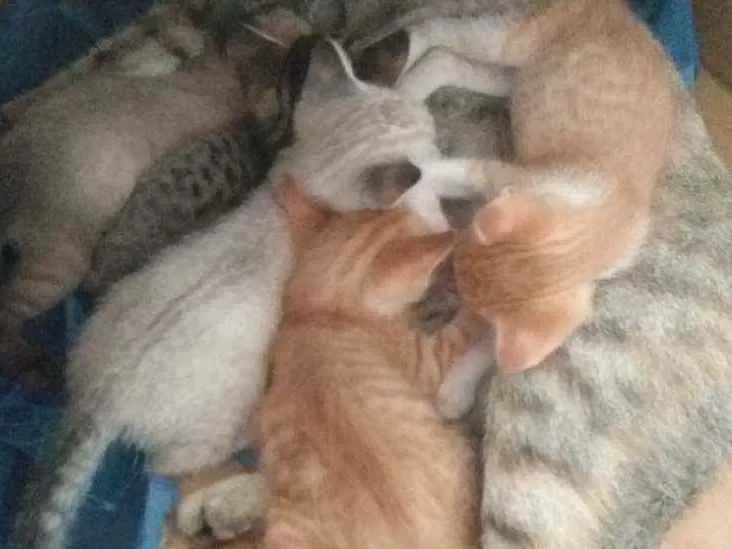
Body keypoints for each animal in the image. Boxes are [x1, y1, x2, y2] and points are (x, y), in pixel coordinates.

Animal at [9, 36, 450, 549]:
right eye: (425, 132)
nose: (437, 130)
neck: (301, 174)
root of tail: (95, 397)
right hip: (216, 412)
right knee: (172, 463)